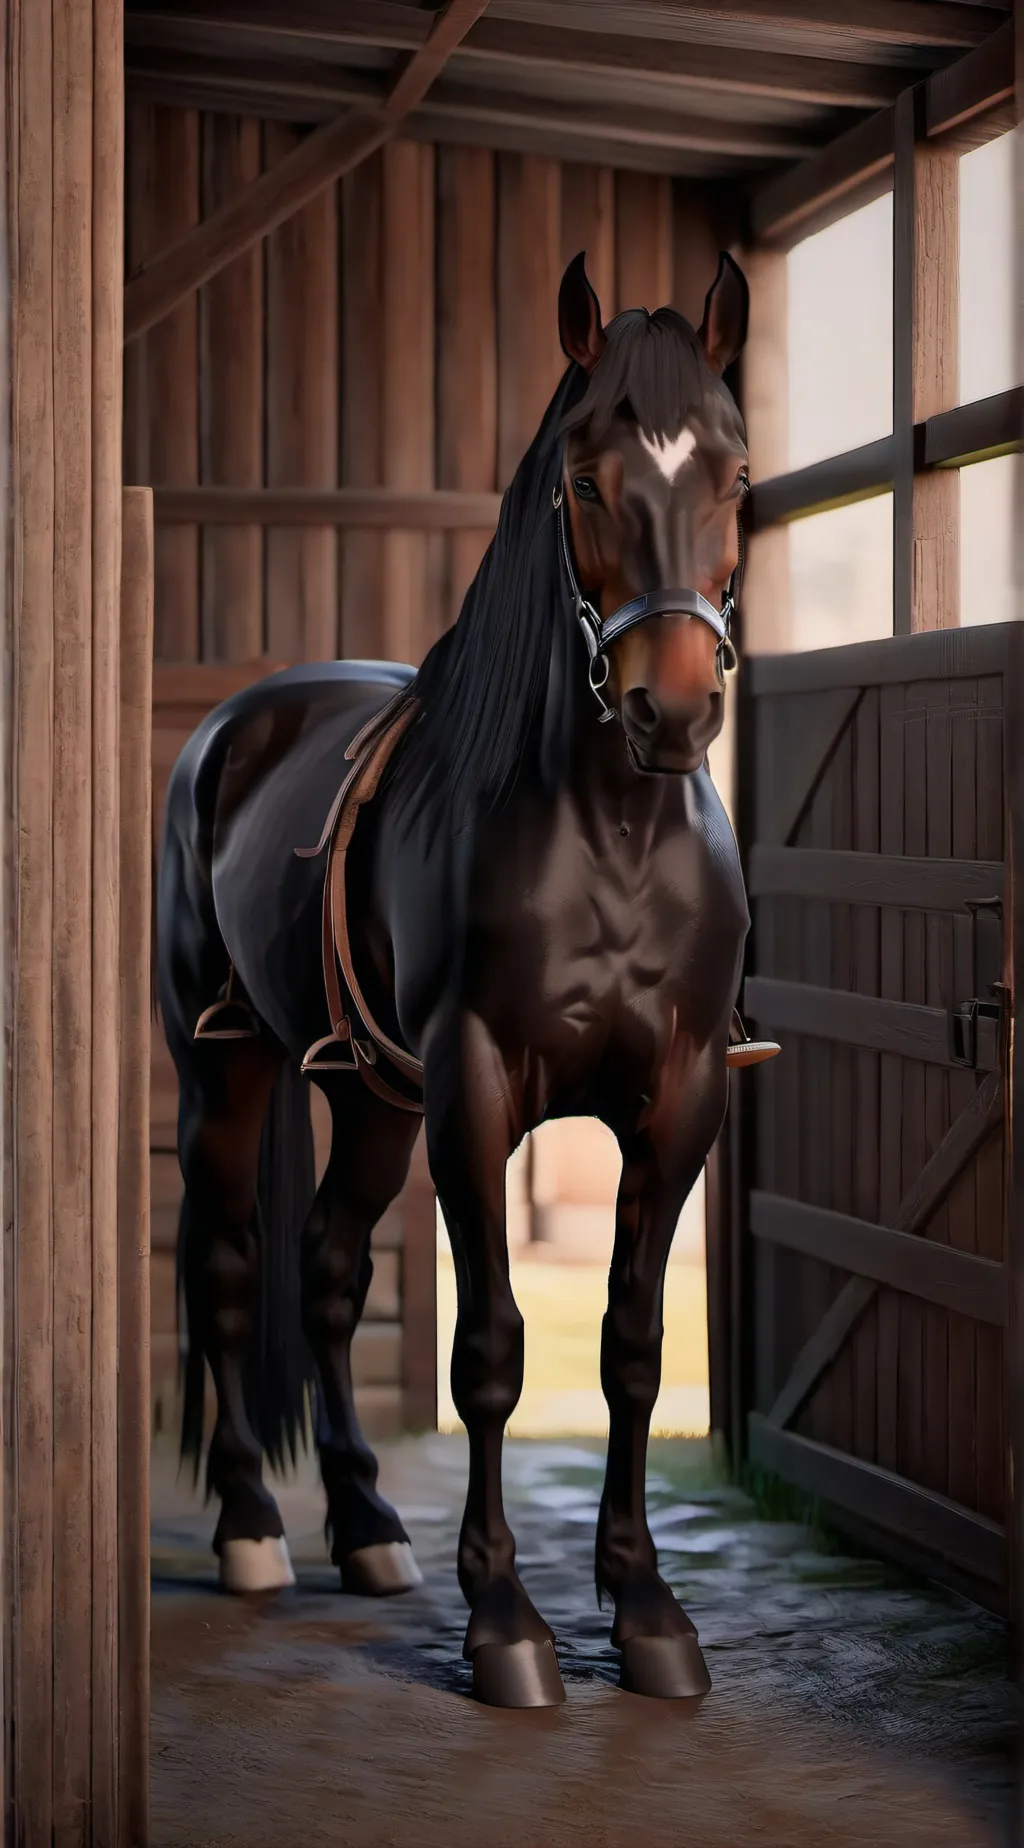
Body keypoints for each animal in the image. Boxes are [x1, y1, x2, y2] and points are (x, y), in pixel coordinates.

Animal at [157, 247, 754, 1709]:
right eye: (585, 481)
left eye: (735, 477)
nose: (671, 714)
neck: (611, 833)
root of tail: (231, 726)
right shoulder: (477, 1088)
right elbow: (488, 1352)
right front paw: (508, 1629)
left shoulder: (680, 1098)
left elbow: (634, 1346)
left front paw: (647, 1612)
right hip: (225, 1069)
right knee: (227, 1270)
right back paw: (254, 1531)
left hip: (373, 1101)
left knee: (323, 1269)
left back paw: (369, 1529)